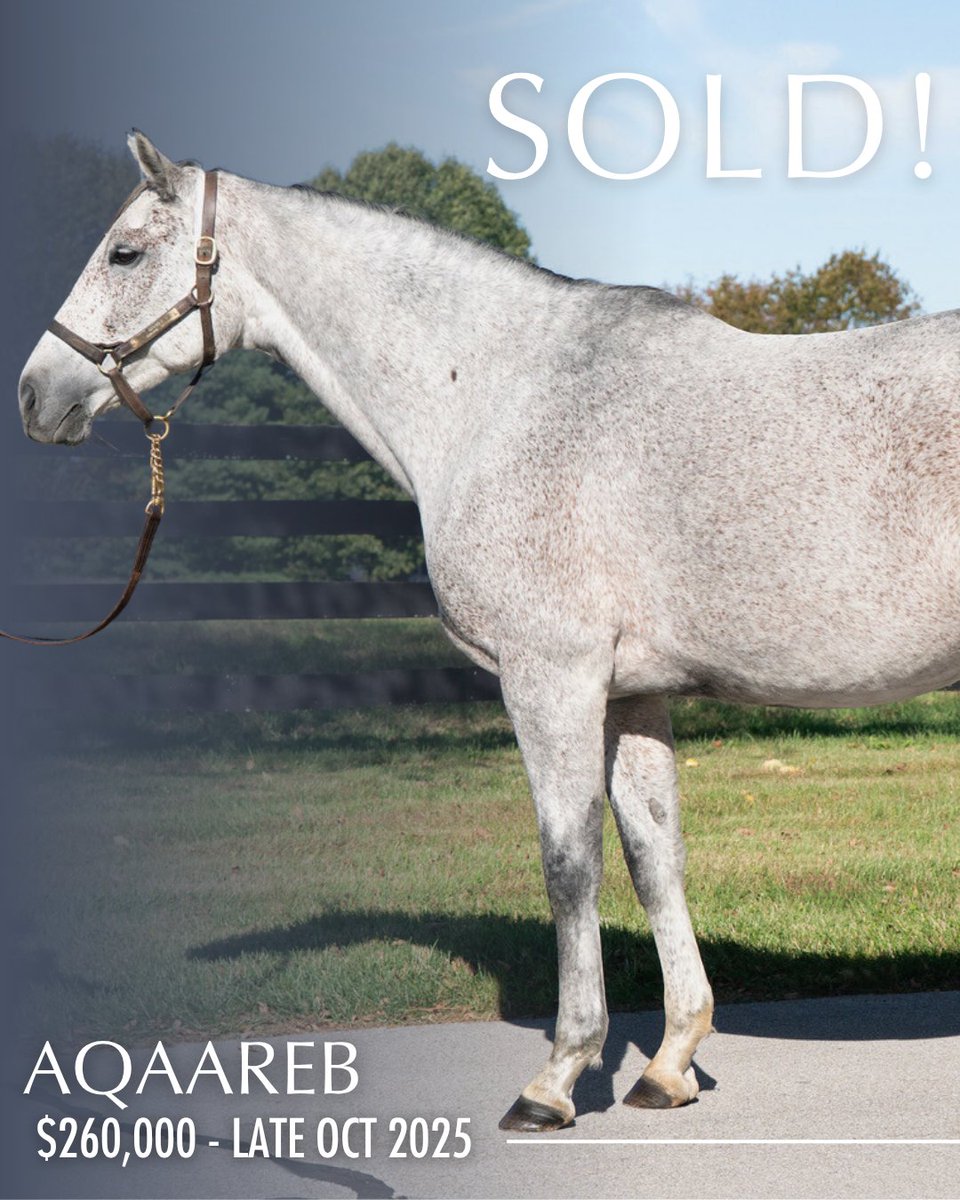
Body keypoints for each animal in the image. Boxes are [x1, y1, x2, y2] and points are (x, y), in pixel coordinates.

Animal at [18, 132, 960, 1133]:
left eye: (125, 253)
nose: (35, 395)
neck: (499, 395)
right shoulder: (631, 693)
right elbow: (653, 854)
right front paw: (670, 1063)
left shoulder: (551, 677)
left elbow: (569, 862)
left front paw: (557, 1078)